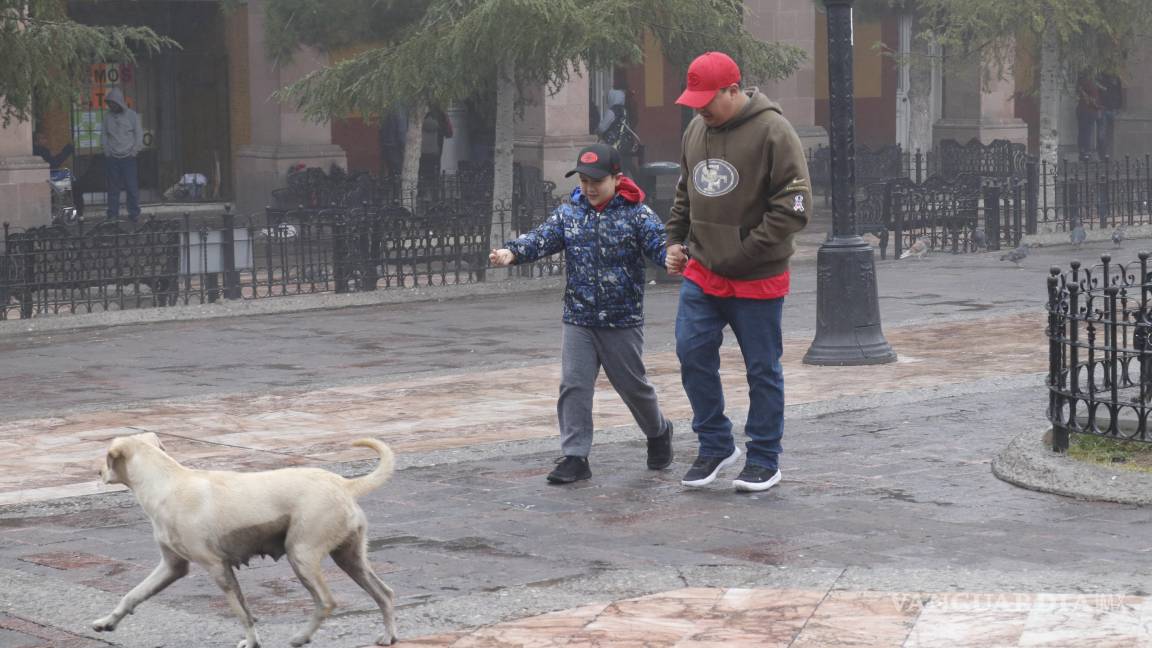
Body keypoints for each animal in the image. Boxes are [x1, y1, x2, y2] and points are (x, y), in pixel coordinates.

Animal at [92, 431, 396, 641]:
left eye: (106, 458)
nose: (97, 471)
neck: (166, 483)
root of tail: (344, 484)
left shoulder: (217, 568)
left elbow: (242, 613)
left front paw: (251, 642)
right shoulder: (172, 566)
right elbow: (132, 595)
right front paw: (107, 622)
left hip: (302, 555)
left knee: (327, 602)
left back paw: (301, 637)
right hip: (349, 557)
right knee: (384, 592)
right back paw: (389, 636)